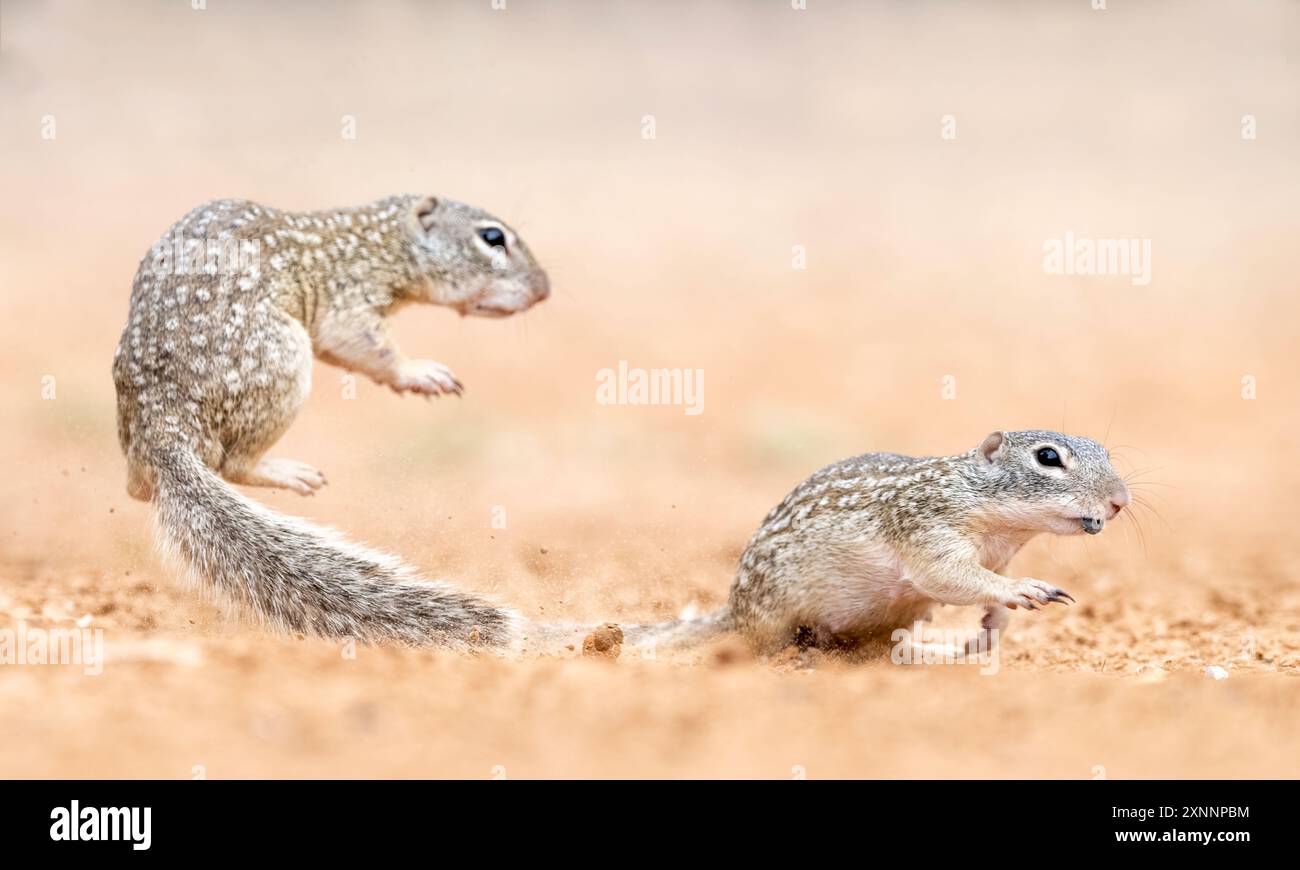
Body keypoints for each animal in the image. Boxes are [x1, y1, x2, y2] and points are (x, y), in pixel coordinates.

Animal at [112, 194, 549, 651]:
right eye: (492, 237)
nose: (545, 289)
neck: (380, 240)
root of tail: (164, 432)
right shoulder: (351, 296)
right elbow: (360, 342)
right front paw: (421, 374)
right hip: (284, 360)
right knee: (232, 464)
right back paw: (289, 472)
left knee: (139, 487)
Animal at [619, 430, 1131, 656]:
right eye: (1047, 457)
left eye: (1107, 453)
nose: (1120, 500)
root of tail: (734, 612)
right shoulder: (927, 527)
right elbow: (946, 576)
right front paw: (1027, 589)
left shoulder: (997, 558)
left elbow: (987, 590)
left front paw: (991, 629)